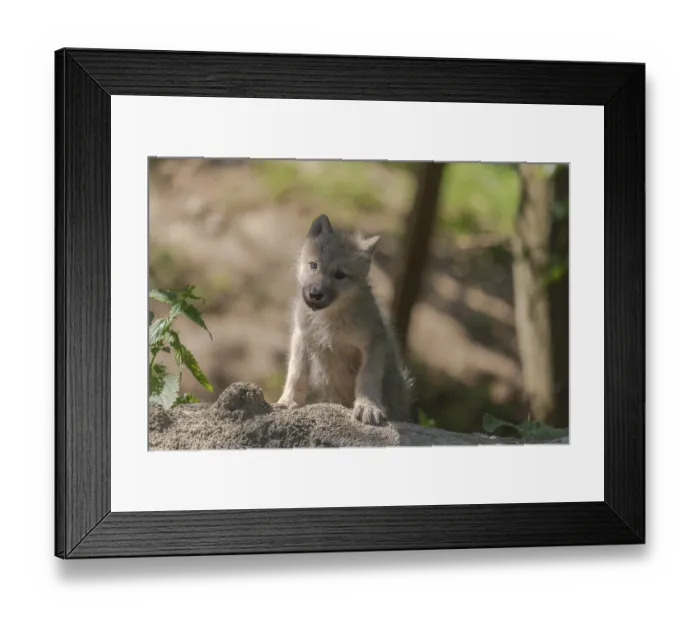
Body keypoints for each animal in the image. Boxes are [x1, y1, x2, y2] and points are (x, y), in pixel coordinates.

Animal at [276, 214, 414, 426]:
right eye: (313, 265)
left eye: (340, 275)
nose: (315, 294)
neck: (329, 321)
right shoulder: (302, 338)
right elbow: (296, 373)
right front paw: (288, 402)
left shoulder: (373, 343)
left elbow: (367, 378)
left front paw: (367, 407)